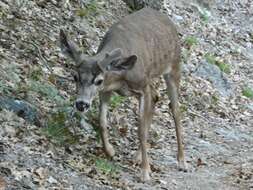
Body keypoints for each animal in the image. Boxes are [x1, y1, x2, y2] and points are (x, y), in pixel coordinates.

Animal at [58, 7, 186, 182]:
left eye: (98, 80)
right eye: (75, 77)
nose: (81, 104)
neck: (120, 77)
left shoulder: (141, 85)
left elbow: (140, 130)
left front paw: (145, 172)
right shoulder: (107, 90)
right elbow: (102, 121)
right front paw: (110, 151)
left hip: (173, 67)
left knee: (175, 109)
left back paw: (182, 161)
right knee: (156, 96)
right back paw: (138, 156)